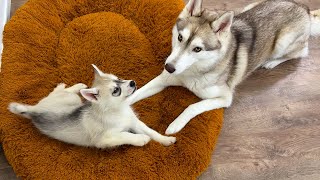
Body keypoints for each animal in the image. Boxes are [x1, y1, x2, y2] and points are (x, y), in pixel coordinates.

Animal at [127, 0, 320, 134]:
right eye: (180, 38)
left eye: (197, 49)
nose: (169, 67)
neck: (193, 71)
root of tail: (304, 7)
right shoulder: (163, 79)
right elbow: (135, 94)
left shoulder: (225, 98)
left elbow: (192, 106)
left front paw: (176, 124)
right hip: (247, 8)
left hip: (282, 42)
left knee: (302, 51)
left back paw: (272, 61)